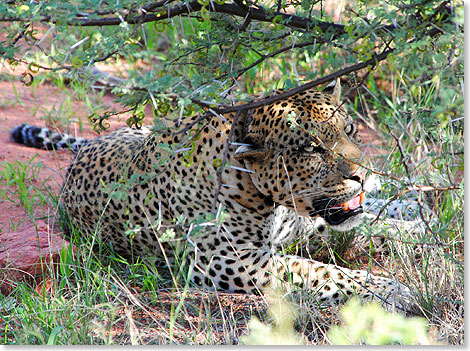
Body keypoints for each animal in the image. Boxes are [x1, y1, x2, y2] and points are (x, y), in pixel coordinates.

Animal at [10, 80, 414, 314]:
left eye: (350, 129)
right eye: (311, 148)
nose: (363, 173)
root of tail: (90, 144)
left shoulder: (304, 225)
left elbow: (367, 226)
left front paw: (412, 227)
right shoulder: (230, 260)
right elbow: (322, 271)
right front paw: (393, 289)